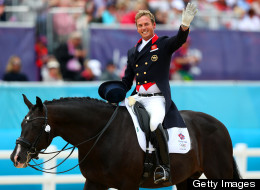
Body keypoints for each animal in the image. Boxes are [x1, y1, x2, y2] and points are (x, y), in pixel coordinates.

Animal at [10, 95, 242, 190]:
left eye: (35, 127)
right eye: (22, 124)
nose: (17, 157)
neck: (103, 135)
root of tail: (219, 124)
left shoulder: (128, 185)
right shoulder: (94, 182)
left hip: (219, 174)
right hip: (187, 179)